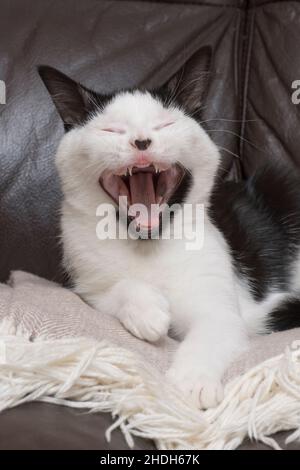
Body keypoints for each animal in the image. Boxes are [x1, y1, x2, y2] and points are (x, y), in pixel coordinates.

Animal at [39, 46, 300, 410]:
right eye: (112, 130)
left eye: (165, 123)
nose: (141, 142)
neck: (147, 245)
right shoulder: (84, 285)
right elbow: (111, 291)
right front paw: (147, 311)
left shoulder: (221, 309)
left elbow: (210, 335)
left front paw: (191, 383)